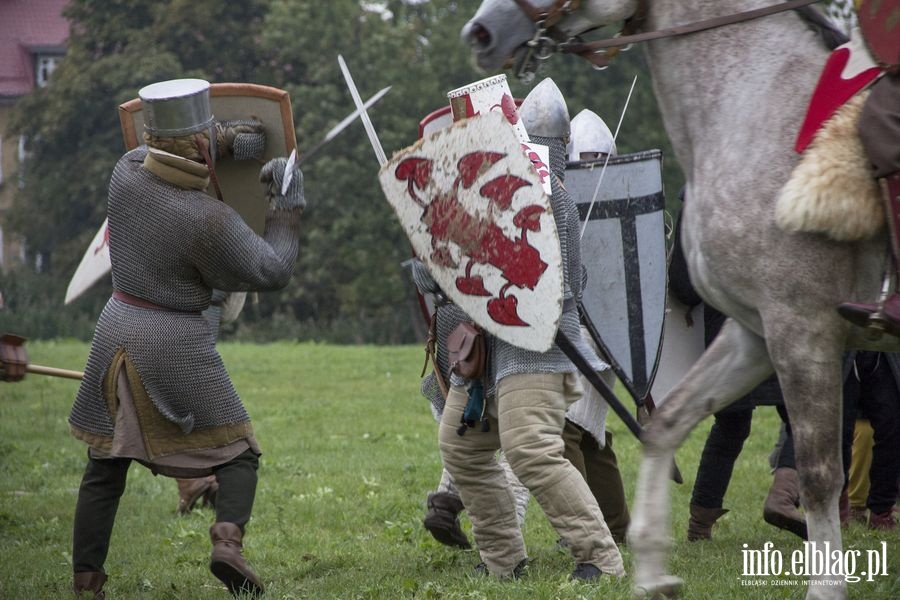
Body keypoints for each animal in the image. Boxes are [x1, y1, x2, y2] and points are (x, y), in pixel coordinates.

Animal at [464, 1, 892, 600]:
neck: (758, 104)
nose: (482, 32)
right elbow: (664, 423)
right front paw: (650, 567)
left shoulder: (802, 325)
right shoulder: (758, 331)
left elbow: (818, 472)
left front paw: (826, 586)